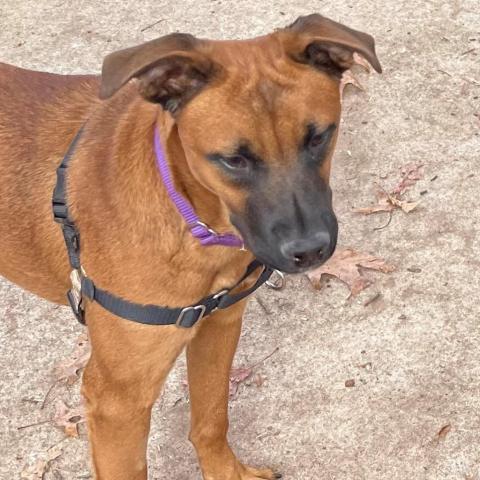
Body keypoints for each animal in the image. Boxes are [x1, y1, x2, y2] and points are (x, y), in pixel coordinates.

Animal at [0, 13, 382, 480]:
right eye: (233, 160)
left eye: (318, 138)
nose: (311, 251)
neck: (191, 219)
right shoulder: (117, 402)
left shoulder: (220, 324)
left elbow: (212, 418)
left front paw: (225, 472)